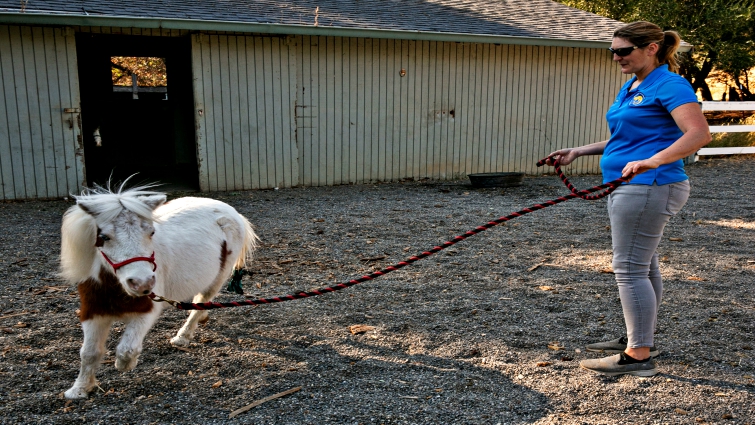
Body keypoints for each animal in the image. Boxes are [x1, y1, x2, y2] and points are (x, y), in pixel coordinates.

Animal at [59, 182, 259, 399]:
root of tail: (229, 210)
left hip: (219, 275)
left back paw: (183, 336)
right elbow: (88, 352)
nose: (142, 283)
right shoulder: (93, 311)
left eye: (151, 233)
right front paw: (79, 389)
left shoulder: (147, 309)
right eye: (104, 237)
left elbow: (126, 349)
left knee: (201, 299)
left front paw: (125, 364)